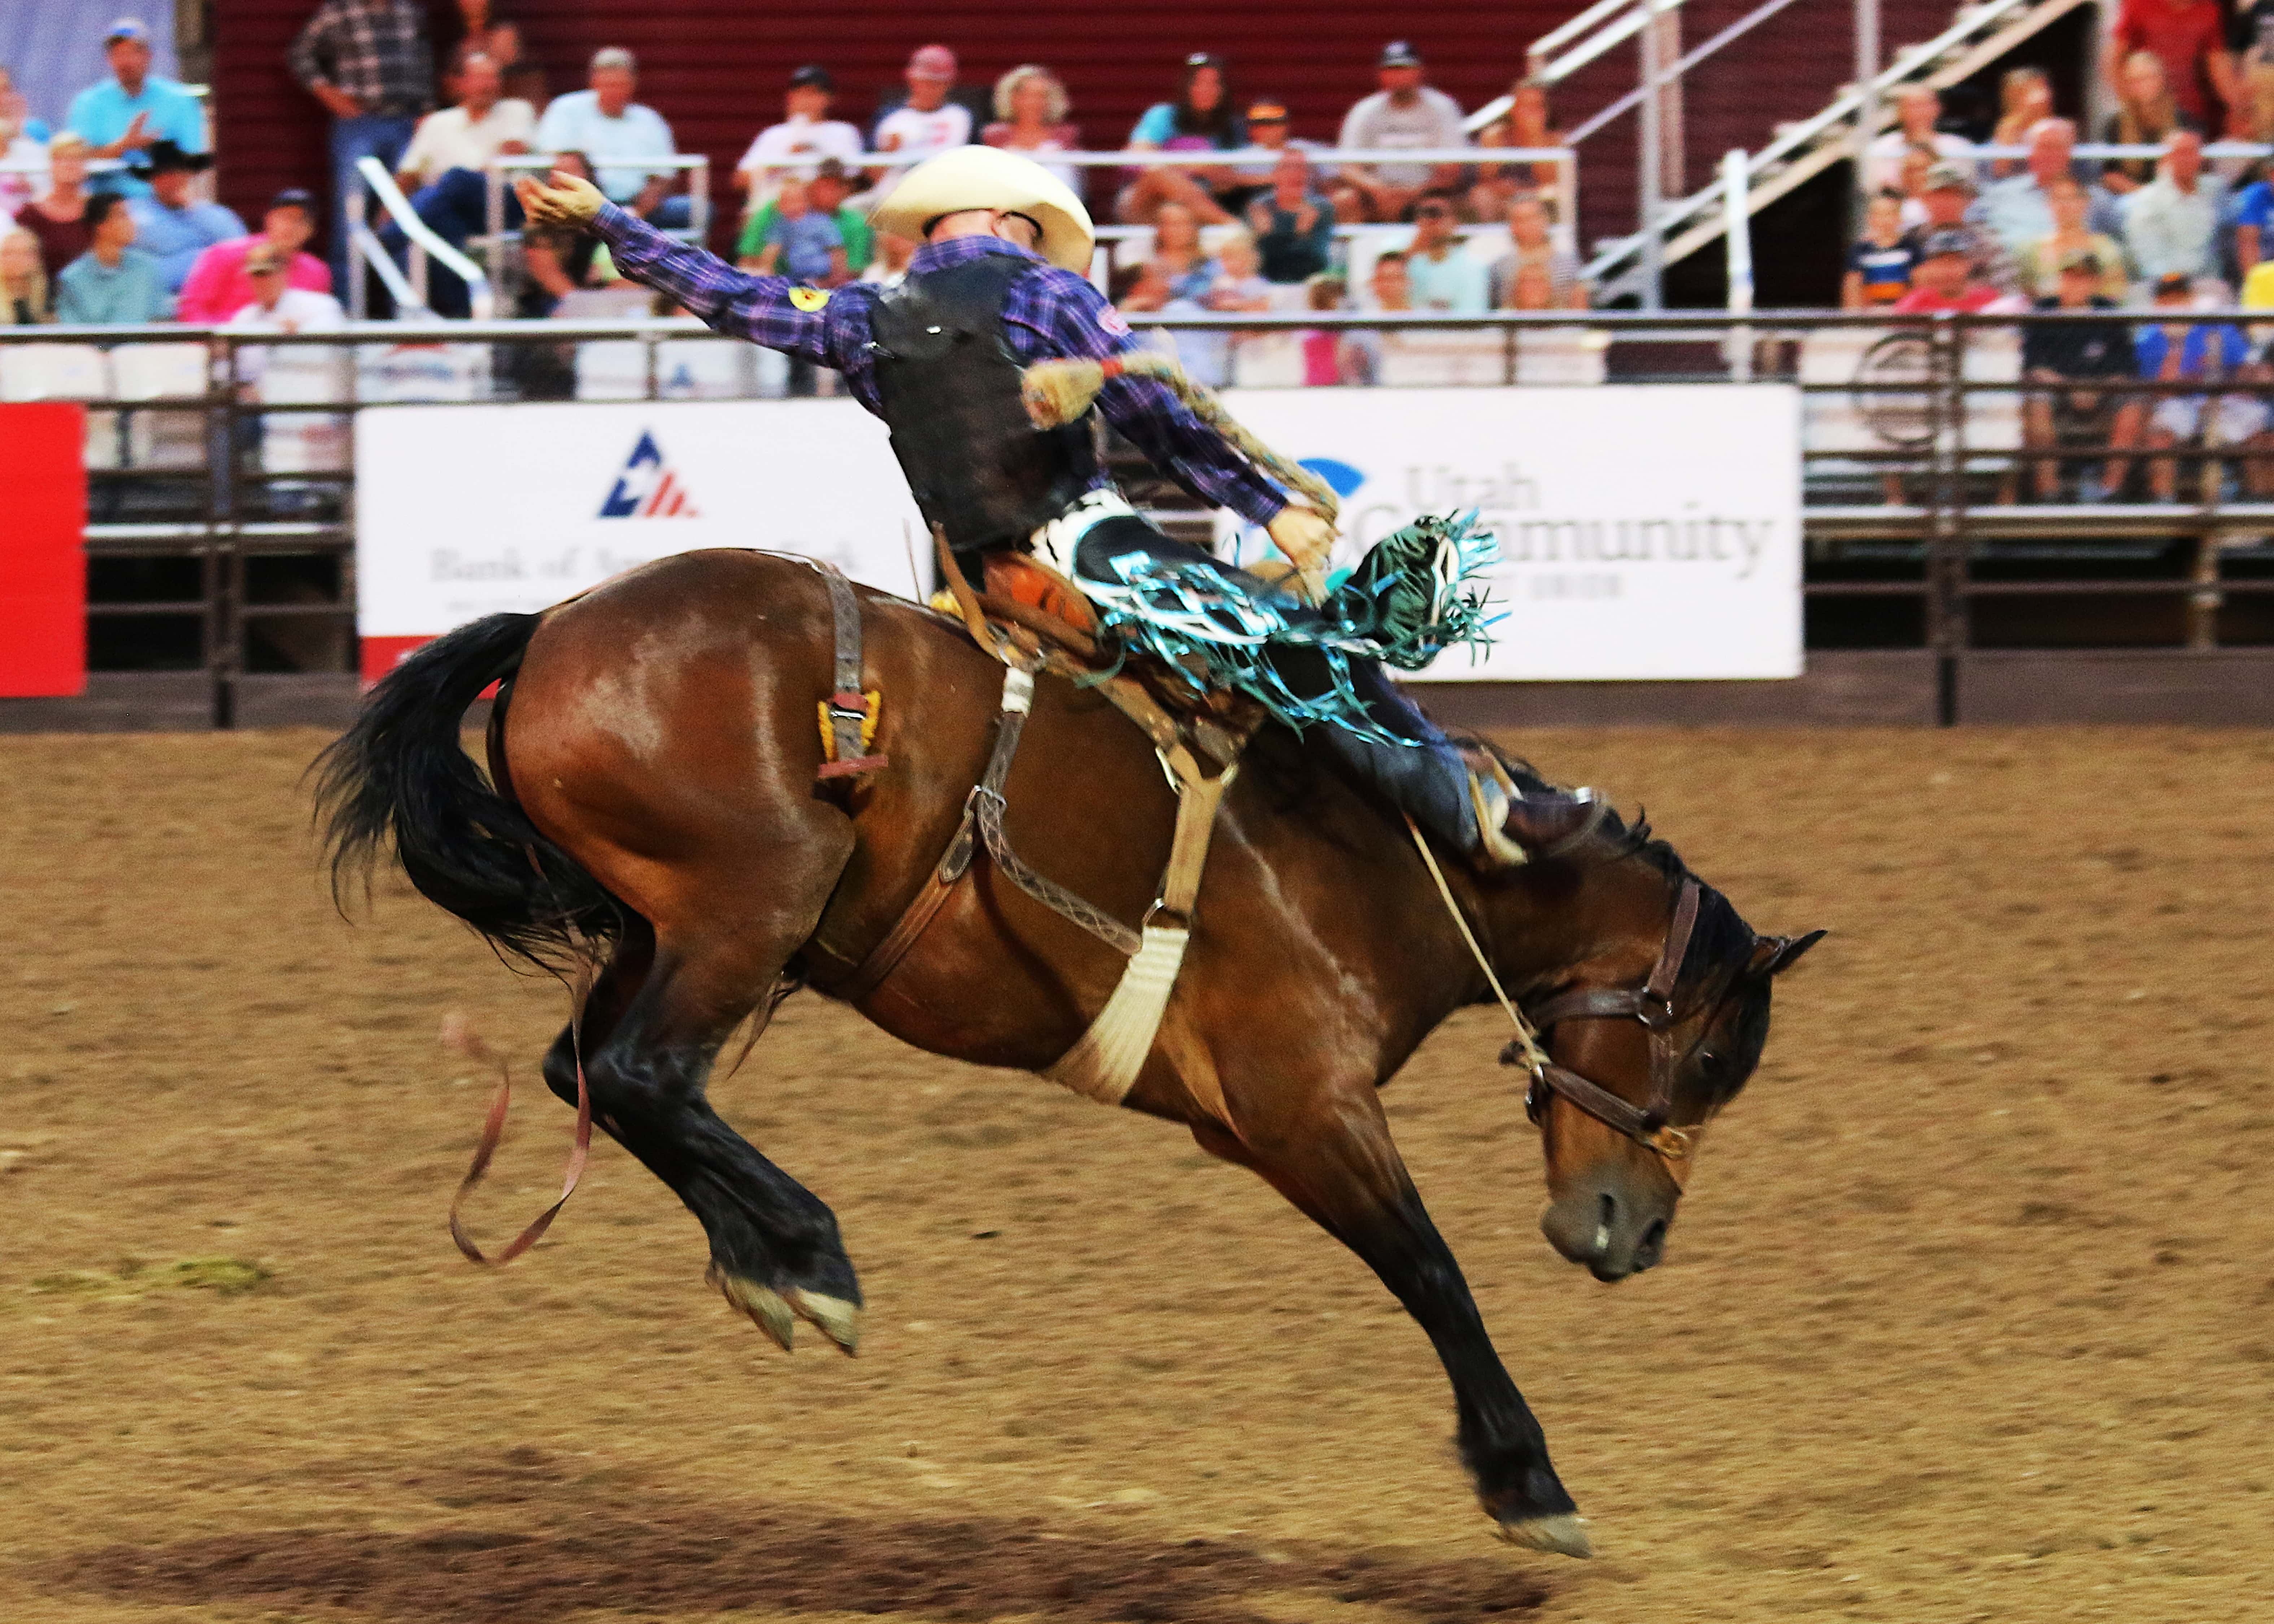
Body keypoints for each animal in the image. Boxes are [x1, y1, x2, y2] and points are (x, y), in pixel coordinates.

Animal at [321, 548, 1819, 1555]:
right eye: (1705, 1061)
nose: (1632, 1235)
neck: (1399, 858)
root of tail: (555, 626)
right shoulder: (1302, 1111)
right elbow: (1432, 1272)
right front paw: (1528, 1483)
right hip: (747, 909)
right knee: (640, 1077)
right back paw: (810, 1253)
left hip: (663, 932)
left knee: (596, 1076)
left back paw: (765, 1265)